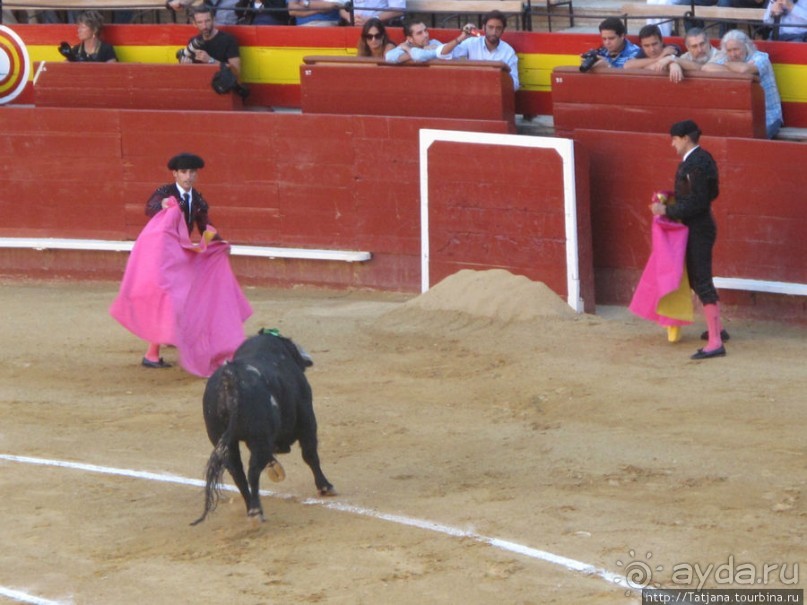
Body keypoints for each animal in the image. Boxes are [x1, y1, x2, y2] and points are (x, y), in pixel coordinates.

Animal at [192, 330, 334, 524]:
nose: (307, 358)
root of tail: (230, 382)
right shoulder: (307, 418)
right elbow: (310, 454)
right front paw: (325, 486)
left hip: (224, 441)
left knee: (238, 473)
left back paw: (252, 508)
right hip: (260, 439)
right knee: (252, 471)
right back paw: (256, 510)